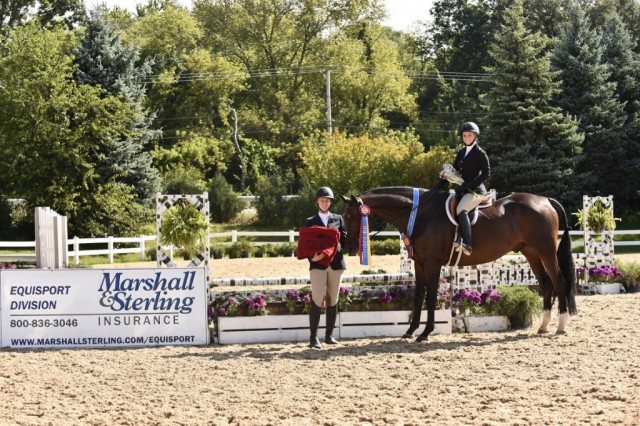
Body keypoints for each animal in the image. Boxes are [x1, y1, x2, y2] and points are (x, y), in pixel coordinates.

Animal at [342, 186, 576, 342]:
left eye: (352, 216)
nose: (350, 246)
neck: (419, 214)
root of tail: (545, 200)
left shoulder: (432, 263)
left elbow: (431, 294)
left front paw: (425, 333)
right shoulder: (419, 263)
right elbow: (419, 295)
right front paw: (410, 331)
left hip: (546, 252)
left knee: (559, 281)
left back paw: (561, 326)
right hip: (531, 252)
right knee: (546, 284)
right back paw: (544, 326)